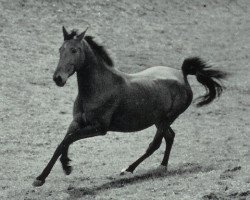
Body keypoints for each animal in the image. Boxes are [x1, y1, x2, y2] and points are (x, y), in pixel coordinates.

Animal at [32, 26, 227, 186]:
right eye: (60, 49)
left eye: (74, 50)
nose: (58, 78)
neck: (100, 87)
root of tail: (182, 74)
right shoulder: (77, 122)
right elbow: (63, 142)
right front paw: (55, 171)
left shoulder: (99, 128)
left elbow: (68, 140)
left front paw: (55, 172)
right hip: (159, 120)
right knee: (170, 137)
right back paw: (162, 166)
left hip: (167, 118)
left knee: (155, 143)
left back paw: (129, 169)